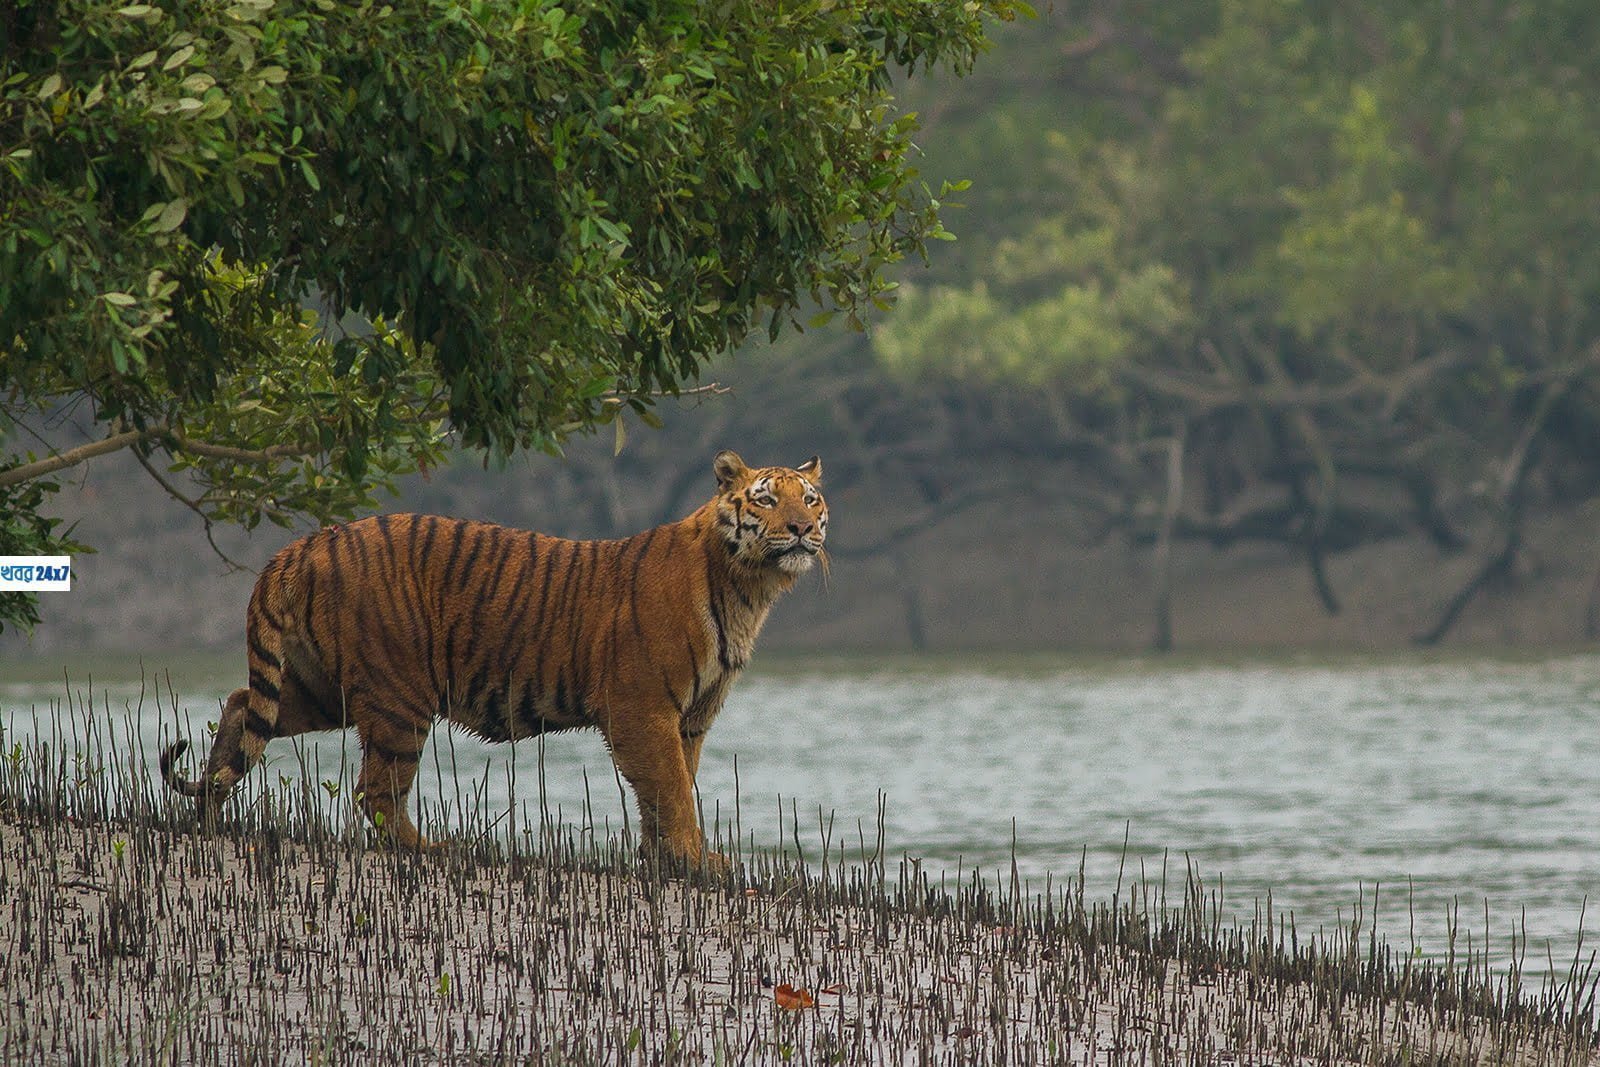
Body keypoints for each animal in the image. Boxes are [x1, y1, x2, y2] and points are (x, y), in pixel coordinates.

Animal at [160, 450, 827, 868]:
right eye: (766, 501)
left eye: (811, 500)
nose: (801, 529)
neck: (748, 587)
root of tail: (306, 543)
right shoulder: (643, 706)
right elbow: (670, 787)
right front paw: (695, 860)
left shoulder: (691, 716)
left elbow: (673, 786)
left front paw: (665, 858)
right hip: (399, 695)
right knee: (376, 792)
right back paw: (429, 849)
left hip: (324, 688)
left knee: (242, 705)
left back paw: (209, 811)